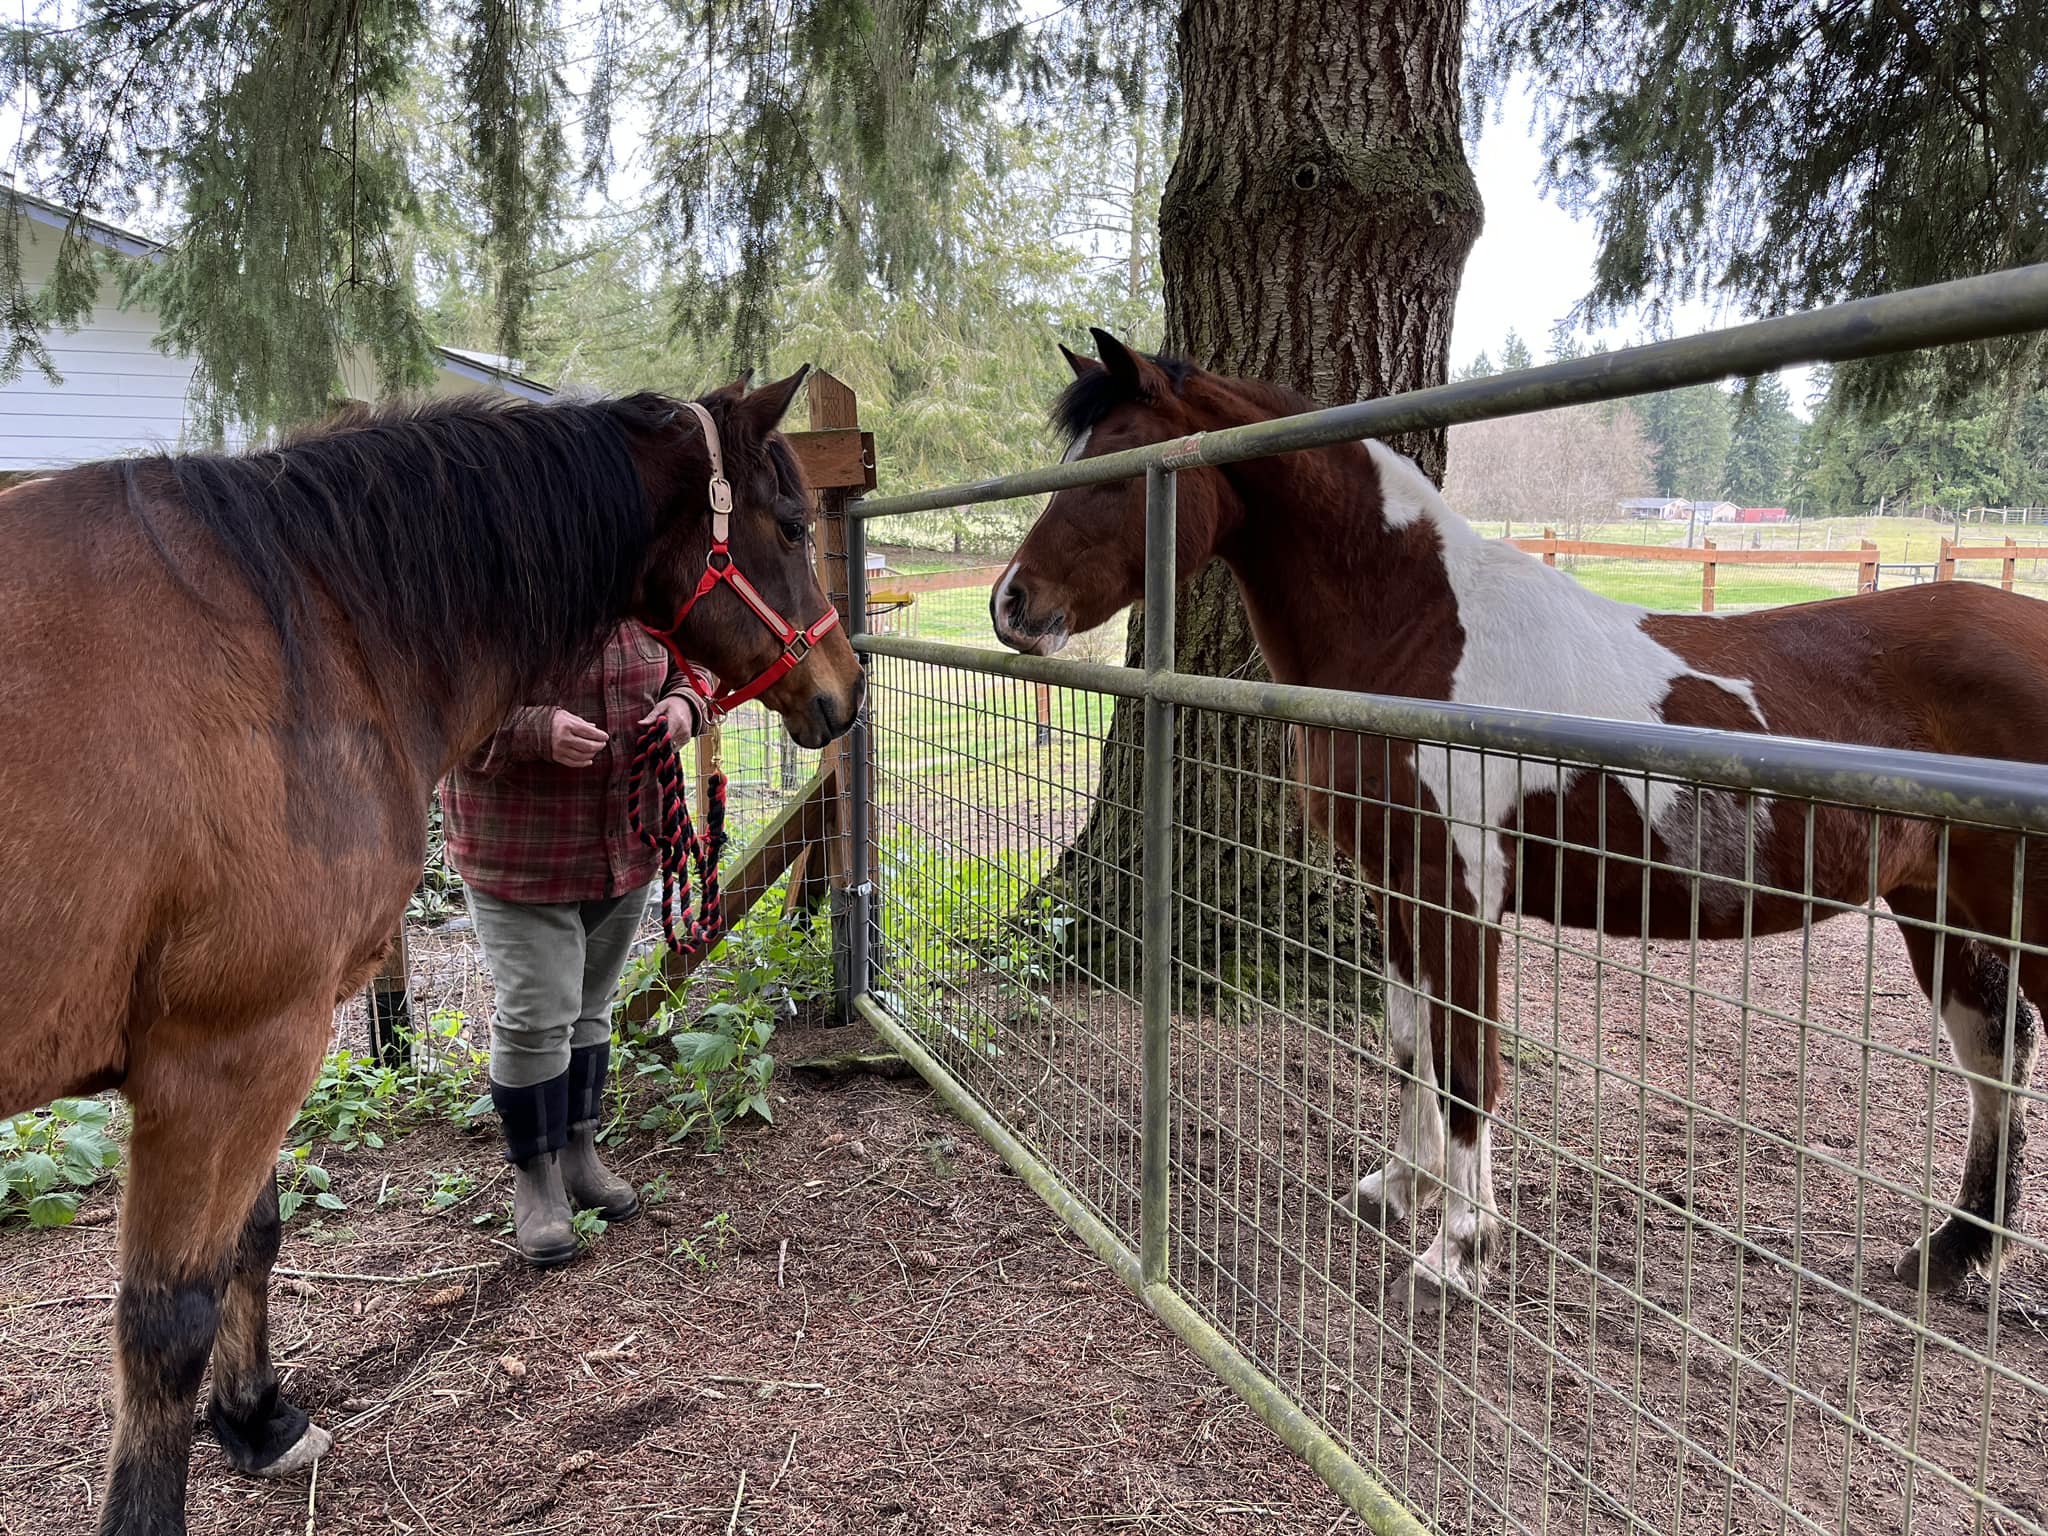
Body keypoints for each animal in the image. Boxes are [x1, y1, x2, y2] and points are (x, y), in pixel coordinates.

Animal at [0, 366, 864, 1531]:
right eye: (788, 524)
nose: (845, 689)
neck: (302, 628)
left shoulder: (260, 1053)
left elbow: (252, 1238)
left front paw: (259, 1421)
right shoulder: (225, 1055)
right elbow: (165, 1322)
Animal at [991, 331, 2048, 1302]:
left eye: (1114, 469)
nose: (1013, 604)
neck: (1418, 633)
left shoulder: (1464, 893)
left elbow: (1468, 1062)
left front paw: (1457, 1253)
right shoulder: (1397, 884)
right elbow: (1413, 1043)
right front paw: (1399, 1189)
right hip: (1940, 904)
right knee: (1993, 1052)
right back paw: (1951, 1252)